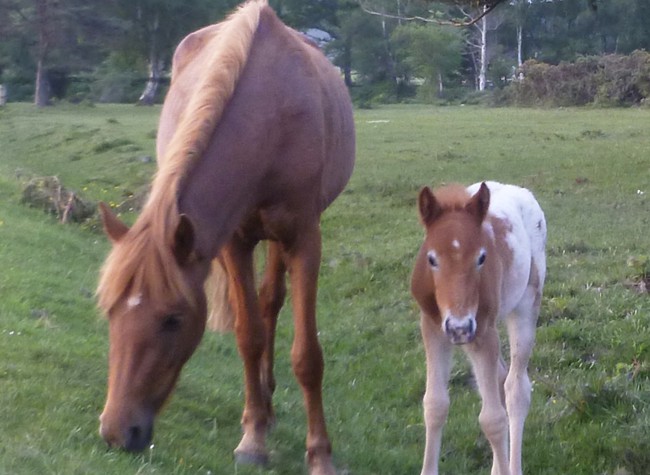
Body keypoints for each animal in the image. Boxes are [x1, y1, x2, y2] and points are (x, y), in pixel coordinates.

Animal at [95, 1, 355, 474]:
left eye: (173, 319)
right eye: (110, 311)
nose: (117, 433)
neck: (271, 115)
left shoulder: (304, 239)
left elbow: (307, 355)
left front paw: (320, 455)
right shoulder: (234, 242)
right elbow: (248, 335)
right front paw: (253, 437)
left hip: (281, 238)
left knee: (273, 299)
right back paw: (264, 408)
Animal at [411, 181, 546, 475]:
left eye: (482, 257)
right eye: (431, 259)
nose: (459, 326)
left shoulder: (483, 332)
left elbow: (493, 419)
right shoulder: (433, 328)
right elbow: (434, 405)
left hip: (526, 304)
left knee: (515, 389)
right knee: (500, 379)